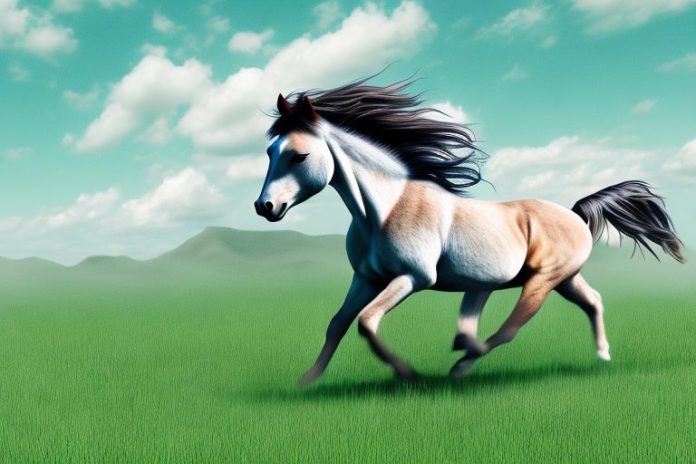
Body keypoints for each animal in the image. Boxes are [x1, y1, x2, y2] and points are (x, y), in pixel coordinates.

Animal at [253, 78, 685, 386]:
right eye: (271, 151)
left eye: (299, 155)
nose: (264, 207)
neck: (385, 209)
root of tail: (576, 213)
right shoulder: (366, 277)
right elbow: (338, 324)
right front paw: (306, 381)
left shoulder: (413, 277)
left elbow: (366, 322)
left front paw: (407, 373)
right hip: (560, 279)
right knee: (592, 301)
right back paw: (602, 356)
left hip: (544, 280)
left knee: (511, 328)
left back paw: (463, 364)